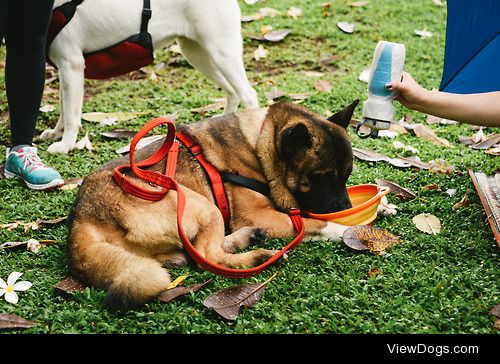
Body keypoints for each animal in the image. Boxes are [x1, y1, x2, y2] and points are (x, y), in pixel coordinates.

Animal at [41, 0, 260, 154]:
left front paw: (65, 145)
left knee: (248, 95)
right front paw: (56, 133)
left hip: (221, 52)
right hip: (196, 53)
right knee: (232, 92)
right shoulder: (63, 69)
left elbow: (71, 115)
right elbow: (64, 108)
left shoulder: (71, 65)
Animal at [68, 101, 358, 312]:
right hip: (203, 206)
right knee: (209, 257)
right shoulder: (260, 215)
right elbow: (314, 223)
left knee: (200, 254)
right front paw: (345, 228)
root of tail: (81, 221)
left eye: (346, 175)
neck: (261, 141)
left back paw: (247, 239)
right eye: (322, 178)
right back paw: (261, 256)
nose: (346, 205)